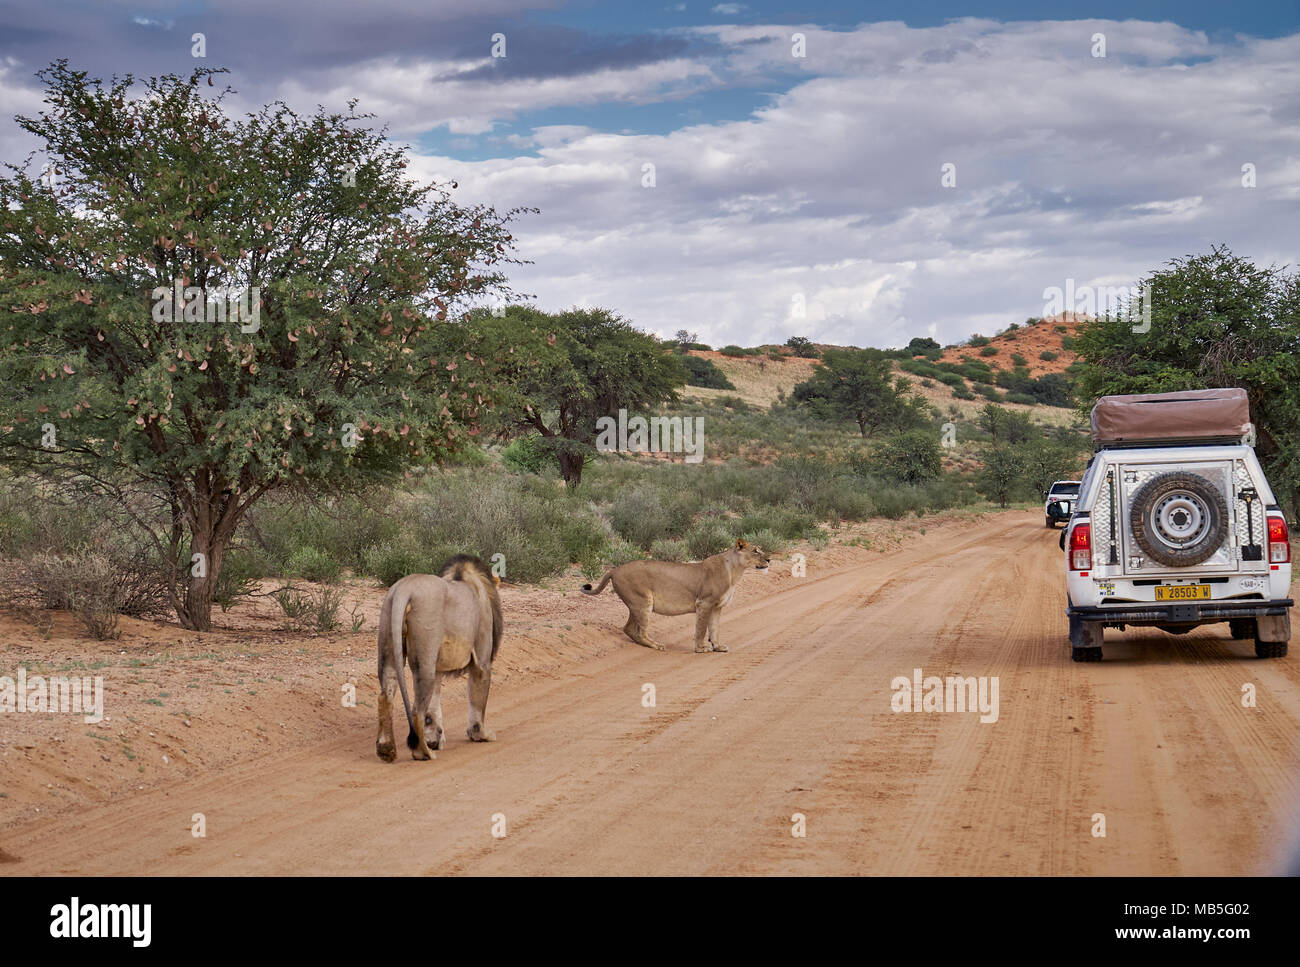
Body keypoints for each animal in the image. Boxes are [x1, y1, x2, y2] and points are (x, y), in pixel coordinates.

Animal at [377, 556, 501, 759]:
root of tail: (404, 587)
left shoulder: (438, 668)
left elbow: (434, 708)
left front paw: (435, 741)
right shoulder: (481, 661)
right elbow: (478, 698)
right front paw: (481, 735)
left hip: (388, 634)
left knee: (386, 695)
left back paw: (386, 749)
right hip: (425, 657)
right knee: (417, 710)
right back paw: (423, 753)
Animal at [582, 540, 769, 652]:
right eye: (756, 551)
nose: (769, 559)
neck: (735, 572)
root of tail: (614, 570)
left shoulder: (717, 607)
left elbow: (714, 628)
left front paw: (717, 647)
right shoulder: (704, 603)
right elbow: (701, 628)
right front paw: (701, 648)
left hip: (636, 603)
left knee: (628, 628)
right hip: (642, 602)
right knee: (640, 631)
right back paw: (656, 645)